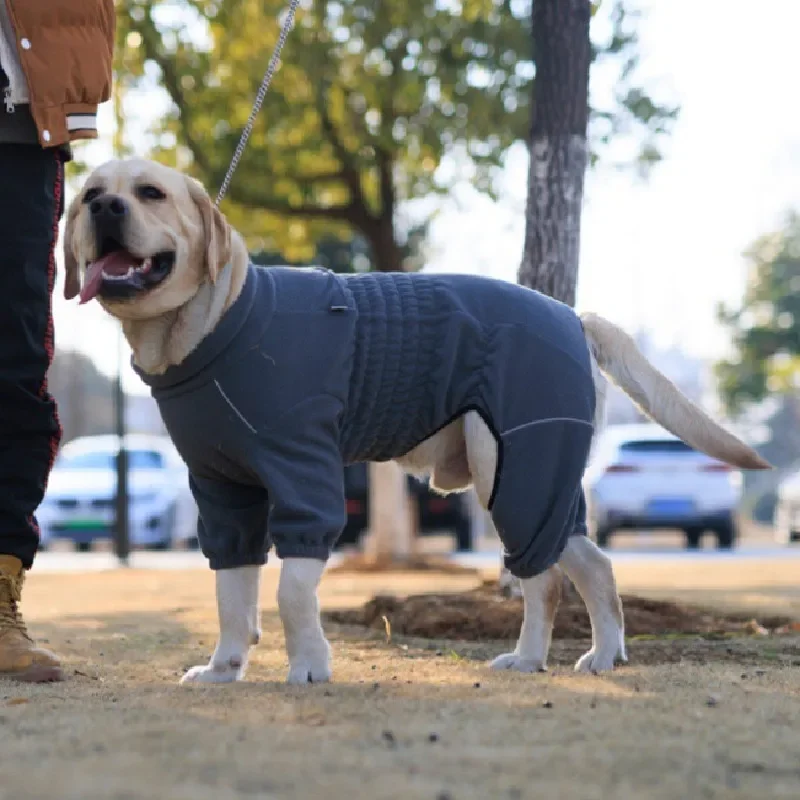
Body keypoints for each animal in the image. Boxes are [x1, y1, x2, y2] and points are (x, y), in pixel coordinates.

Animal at [65, 159, 772, 684]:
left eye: (150, 193)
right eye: (90, 195)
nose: (105, 209)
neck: (217, 324)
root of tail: (573, 316)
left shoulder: (306, 481)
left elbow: (292, 591)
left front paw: (309, 667)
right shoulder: (223, 495)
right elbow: (230, 593)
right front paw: (224, 667)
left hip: (513, 470)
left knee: (545, 579)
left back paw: (543, 658)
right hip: (538, 479)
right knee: (590, 566)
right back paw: (592, 655)